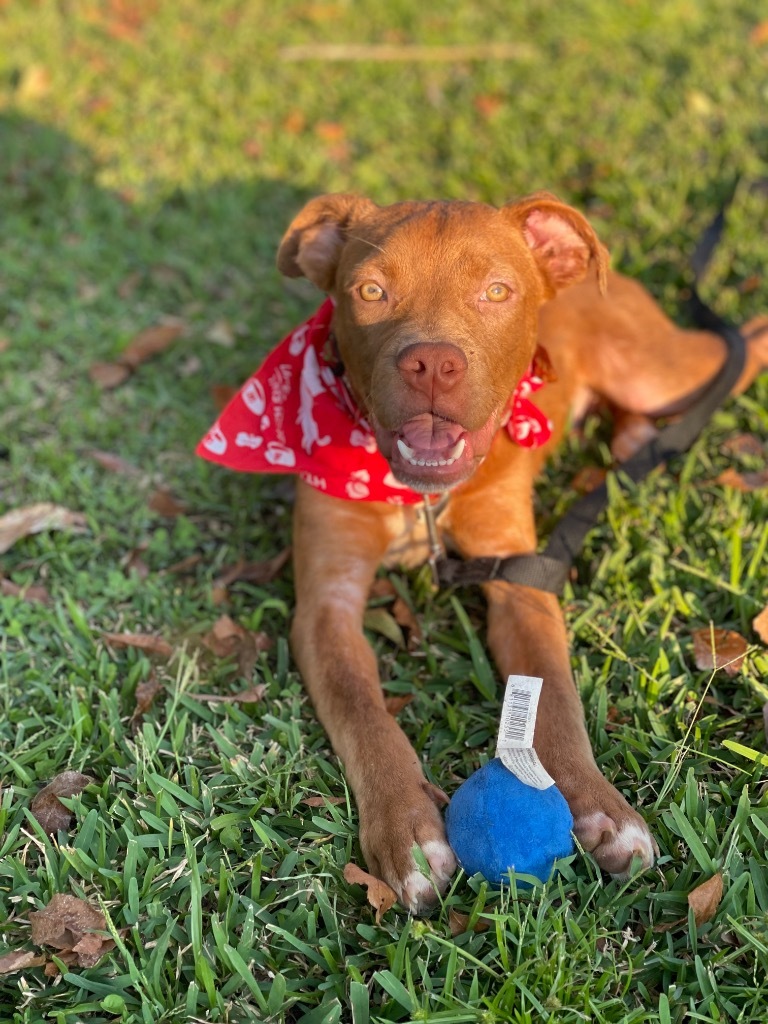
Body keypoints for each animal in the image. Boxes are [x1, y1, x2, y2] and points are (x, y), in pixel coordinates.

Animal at [268, 192, 765, 913]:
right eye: (370, 292)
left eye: (497, 292)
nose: (432, 364)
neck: (422, 498)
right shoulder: (324, 606)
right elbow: (362, 710)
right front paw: (407, 832)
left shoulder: (522, 581)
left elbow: (554, 699)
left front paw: (602, 808)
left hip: (656, 371)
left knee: (744, 343)